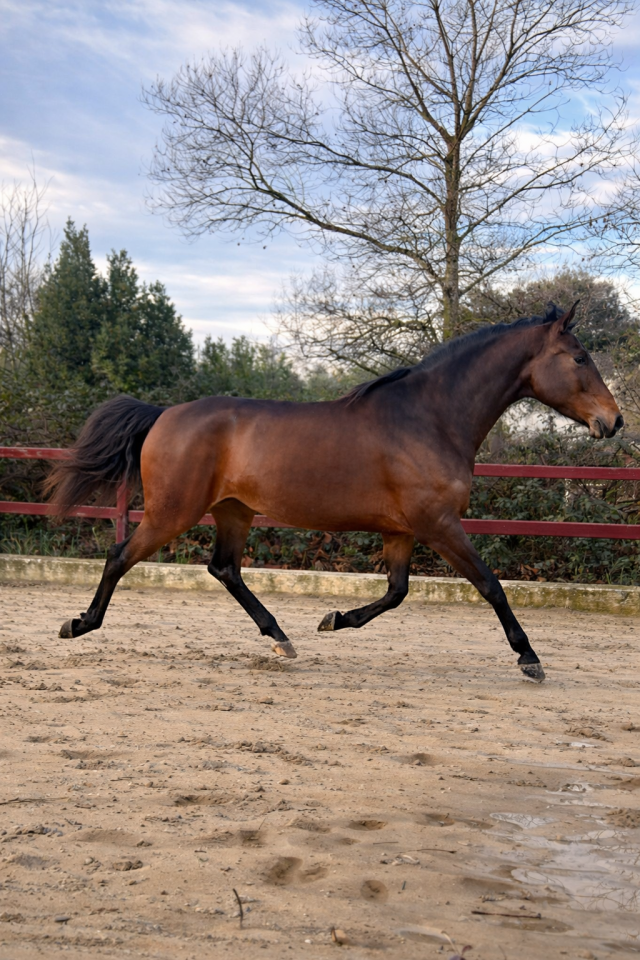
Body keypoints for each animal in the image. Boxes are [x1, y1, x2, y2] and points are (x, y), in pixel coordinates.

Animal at [47, 301, 622, 682]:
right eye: (579, 358)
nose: (614, 421)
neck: (431, 417)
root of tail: (164, 414)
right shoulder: (439, 524)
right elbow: (490, 584)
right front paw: (530, 658)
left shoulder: (402, 531)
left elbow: (396, 592)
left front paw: (334, 620)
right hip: (174, 511)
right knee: (121, 556)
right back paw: (78, 624)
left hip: (234, 512)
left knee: (225, 569)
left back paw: (282, 640)